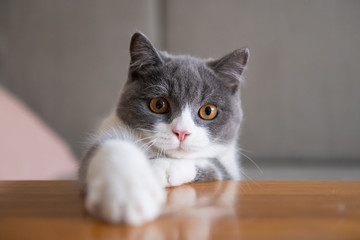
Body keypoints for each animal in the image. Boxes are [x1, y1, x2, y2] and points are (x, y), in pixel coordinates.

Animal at [77, 31, 249, 225]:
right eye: (158, 104)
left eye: (208, 111)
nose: (181, 132)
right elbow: (110, 148)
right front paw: (128, 195)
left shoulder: (229, 167)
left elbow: (214, 167)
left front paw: (158, 169)